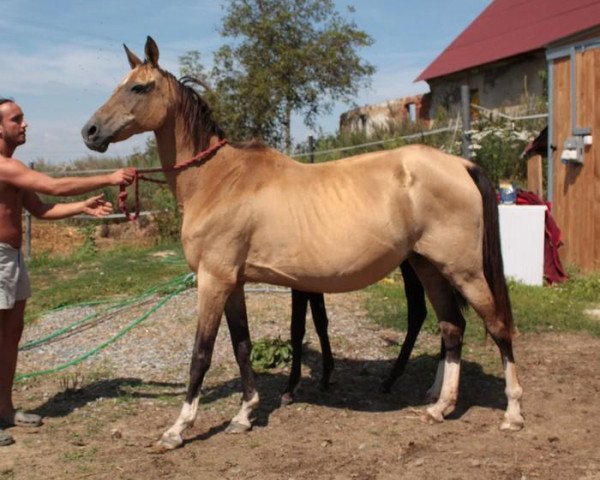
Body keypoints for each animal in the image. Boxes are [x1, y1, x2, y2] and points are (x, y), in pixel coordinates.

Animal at [81, 36, 524, 450]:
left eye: (139, 87)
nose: (90, 131)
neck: (219, 181)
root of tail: (461, 165)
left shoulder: (213, 280)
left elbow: (201, 355)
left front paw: (178, 428)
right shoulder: (234, 283)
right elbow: (242, 346)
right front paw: (245, 414)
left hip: (464, 270)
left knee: (498, 327)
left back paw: (513, 413)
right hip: (428, 266)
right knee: (452, 328)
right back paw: (440, 406)